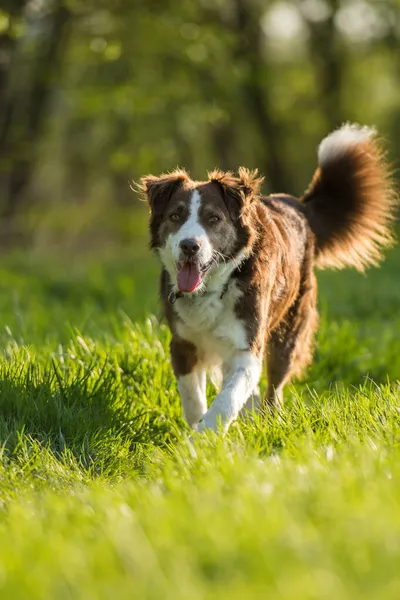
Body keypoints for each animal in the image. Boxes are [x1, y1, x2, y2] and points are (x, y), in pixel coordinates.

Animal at [139, 124, 396, 434]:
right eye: (176, 216)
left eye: (213, 219)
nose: (190, 246)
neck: (213, 288)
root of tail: (297, 204)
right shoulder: (182, 343)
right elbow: (193, 397)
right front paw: (194, 431)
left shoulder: (247, 344)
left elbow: (227, 398)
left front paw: (205, 436)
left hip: (289, 330)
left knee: (274, 389)